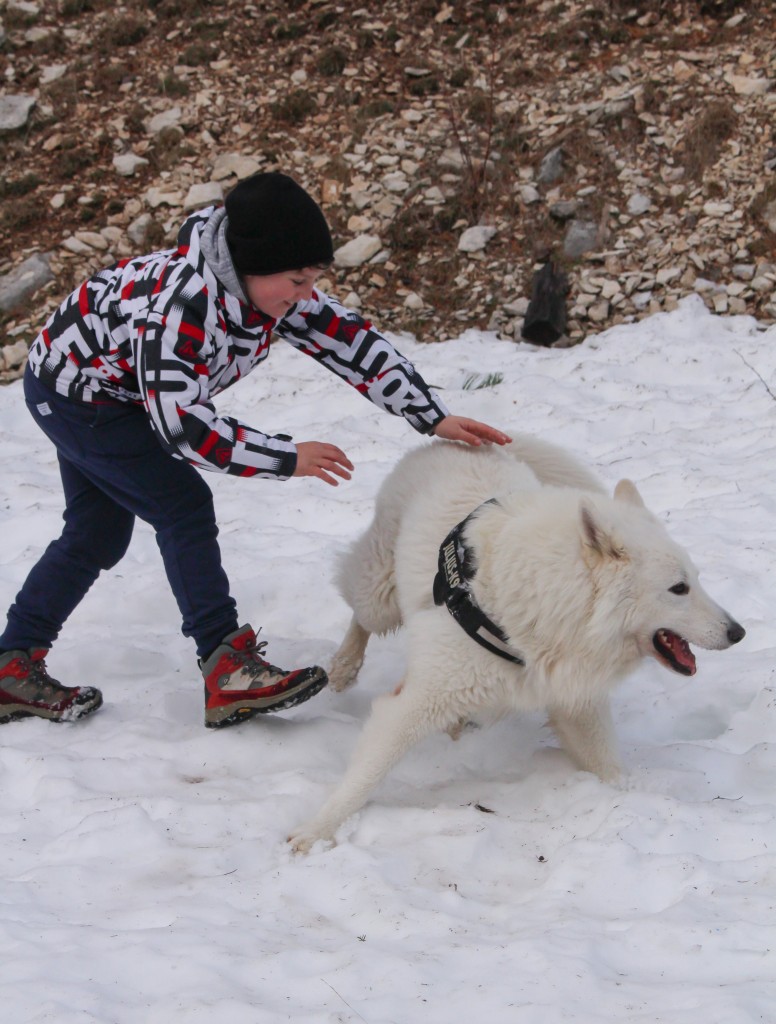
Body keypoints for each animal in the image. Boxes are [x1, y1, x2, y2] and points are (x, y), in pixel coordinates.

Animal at [290, 436, 749, 851]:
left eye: (697, 579)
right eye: (678, 588)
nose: (738, 632)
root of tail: (446, 439)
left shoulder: (574, 702)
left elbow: (607, 766)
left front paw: (626, 800)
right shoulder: (413, 704)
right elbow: (366, 774)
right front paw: (316, 832)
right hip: (379, 594)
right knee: (360, 615)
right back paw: (345, 665)